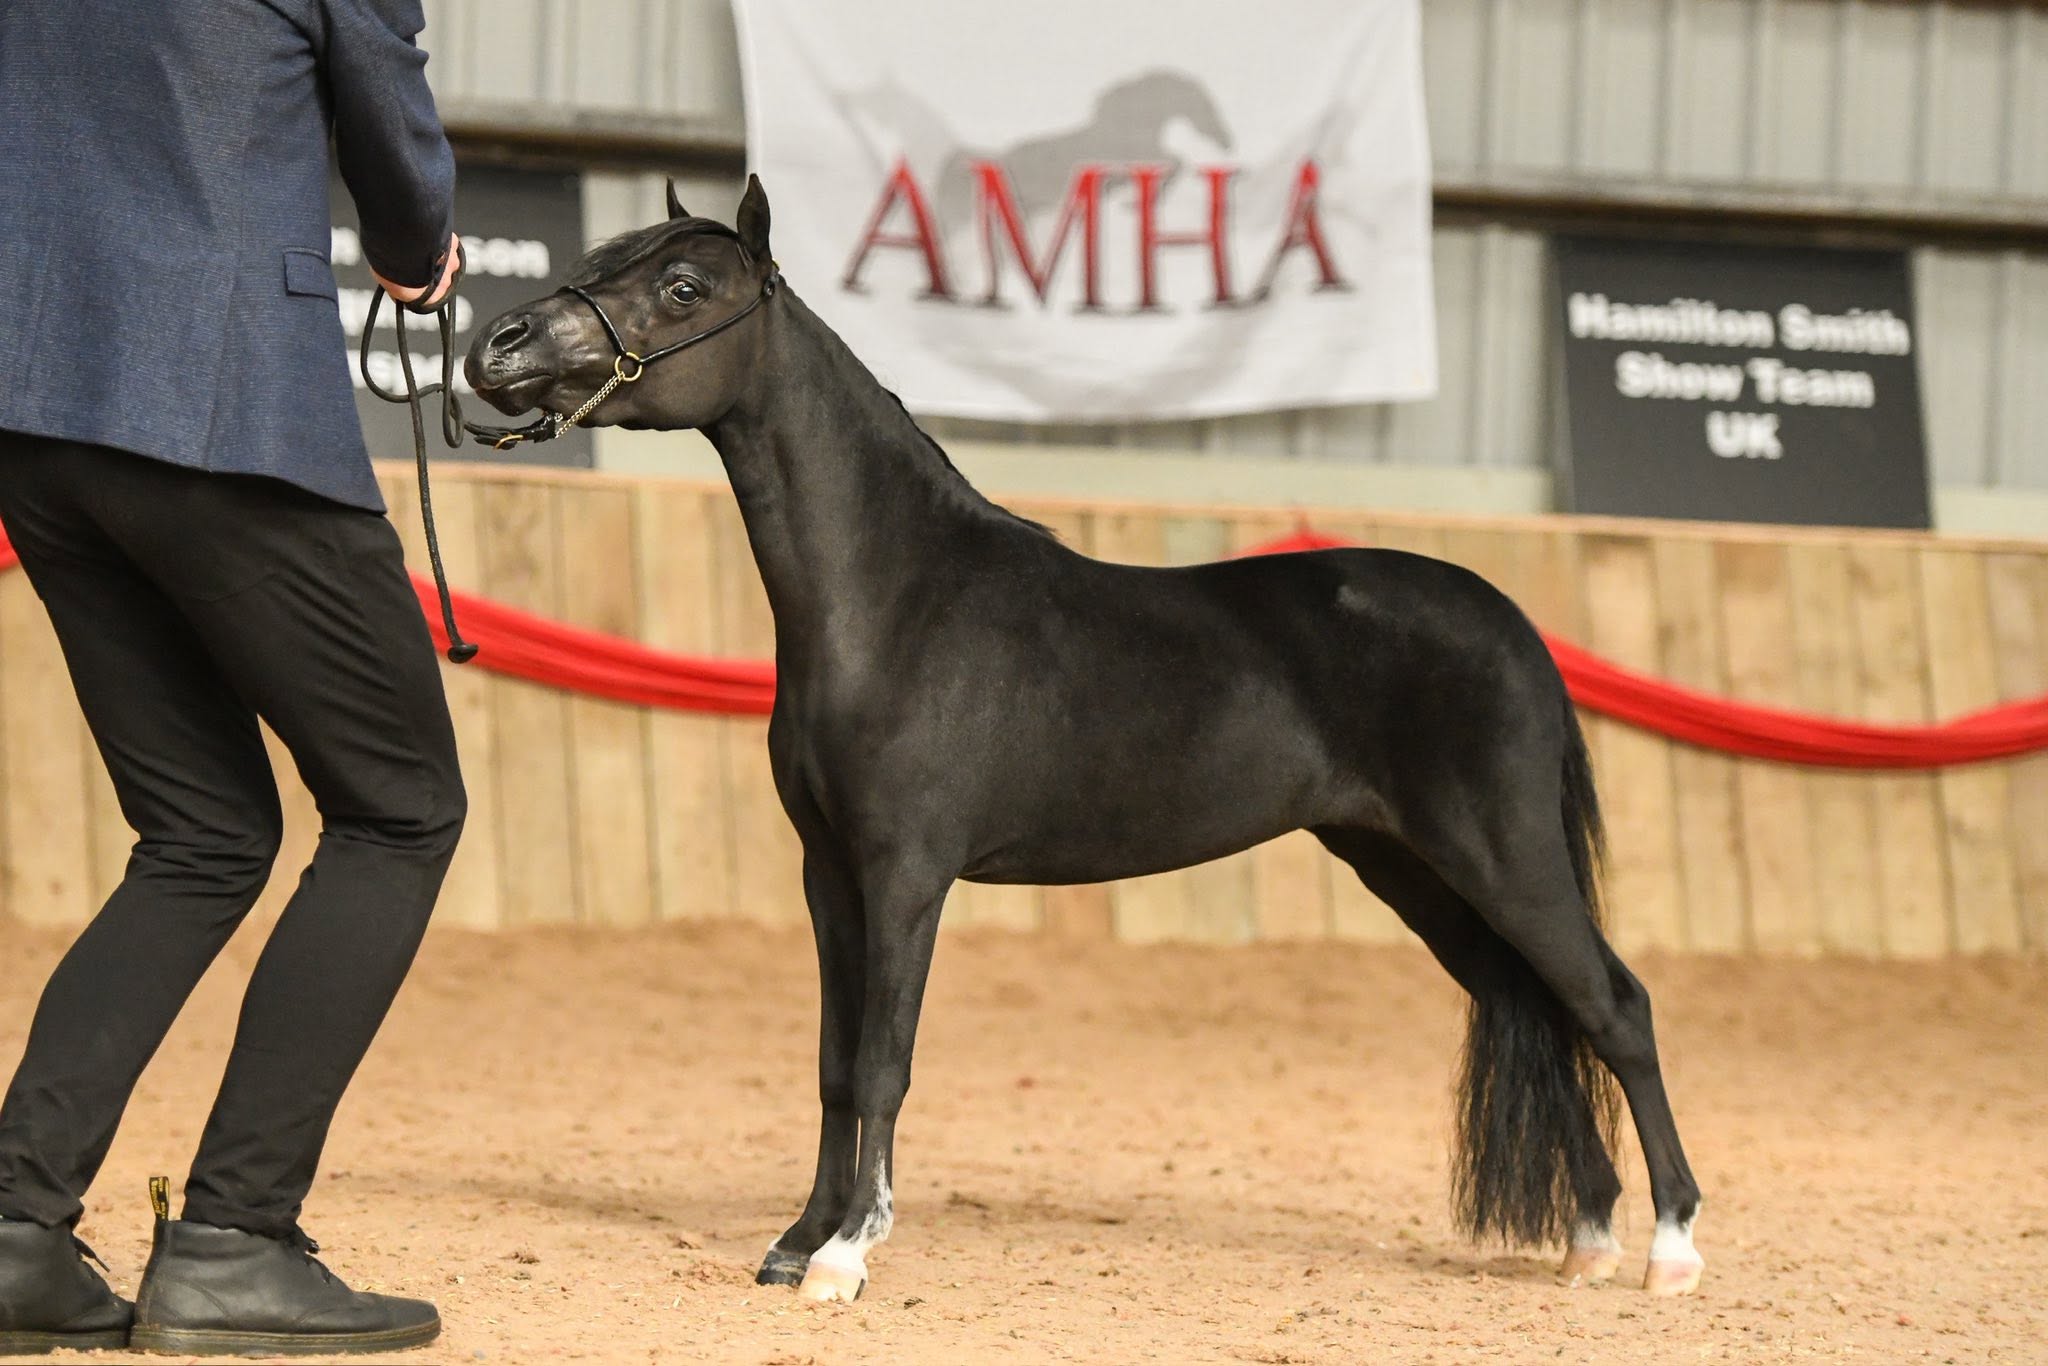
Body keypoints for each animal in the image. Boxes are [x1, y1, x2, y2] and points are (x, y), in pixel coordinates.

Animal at [464, 177, 1704, 1306]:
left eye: (682, 286)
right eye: (607, 256)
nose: (495, 345)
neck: (897, 598)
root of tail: (1511, 623)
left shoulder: (906, 874)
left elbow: (882, 1061)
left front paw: (847, 1253)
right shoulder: (828, 874)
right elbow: (829, 1064)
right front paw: (792, 1241)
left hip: (1504, 858)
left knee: (1615, 1007)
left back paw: (1668, 1249)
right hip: (1412, 870)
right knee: (1532, 1002)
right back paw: (1589, 1237)